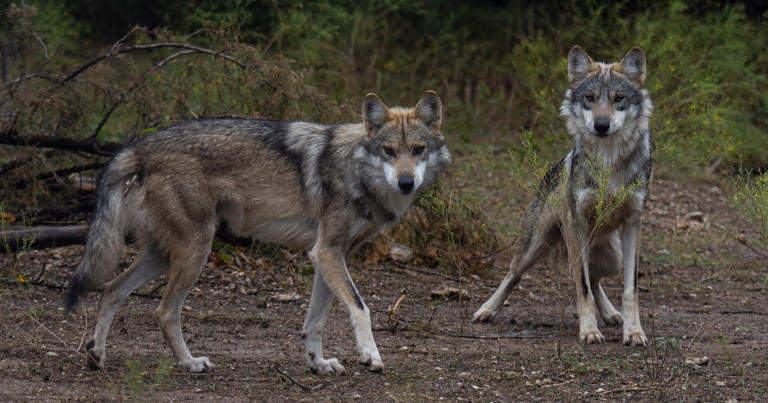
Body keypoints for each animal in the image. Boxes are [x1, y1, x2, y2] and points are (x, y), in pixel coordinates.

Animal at [65, 90, 451, 374]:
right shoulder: (327, 252)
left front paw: (319, 364)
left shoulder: (328, 256)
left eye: (418, 150)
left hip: (165, 254)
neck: (355, 170)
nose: (406, 183)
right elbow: (360, 308)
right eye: (389, 151)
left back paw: (96, 355)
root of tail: (140, 145)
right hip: (195, 251)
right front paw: (370, 356)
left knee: (110, 289)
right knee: (163, 311)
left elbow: (315, 322)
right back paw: (190, 363)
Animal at [472, 46, 652, 347]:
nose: (601, 125)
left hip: (612, 255)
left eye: (618, 99)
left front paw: (634, 332)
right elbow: (582, 287)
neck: (608, 159)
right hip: (537, 246)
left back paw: (611, 314)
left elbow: (630, 290)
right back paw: (487, 309)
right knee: (514, 274)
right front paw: (589, 331)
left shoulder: (632, 224)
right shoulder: (576, 223)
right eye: (590, 98)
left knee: (596, 277)